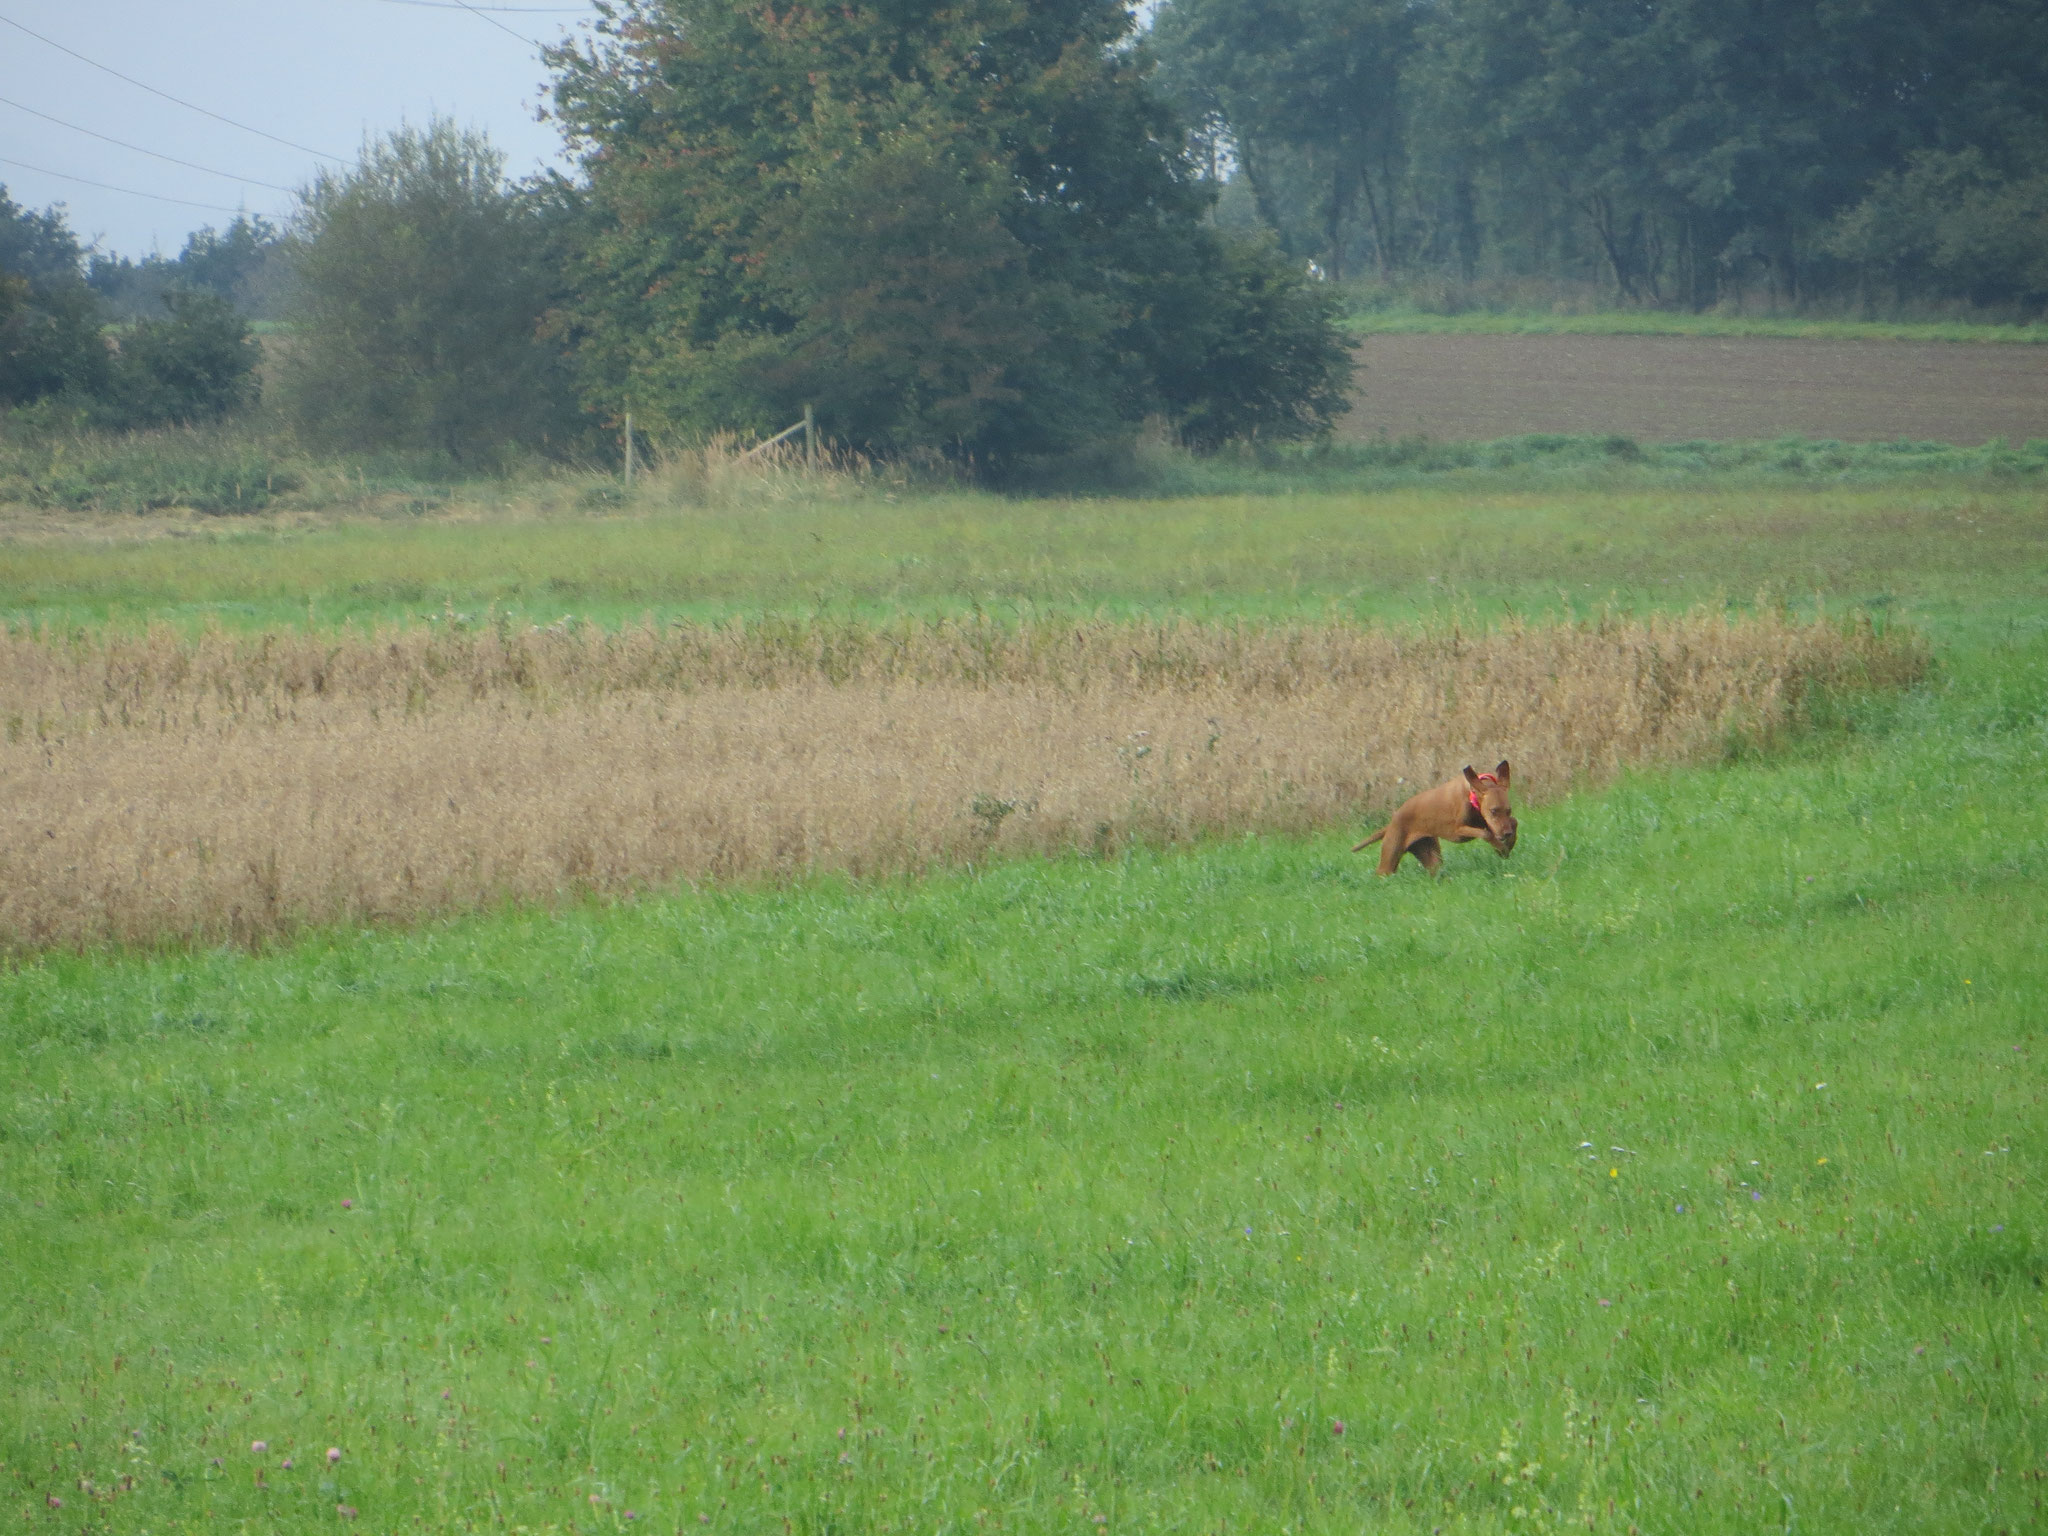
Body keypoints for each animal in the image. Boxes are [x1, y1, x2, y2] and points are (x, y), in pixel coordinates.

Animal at [1351, 761, 1515, 872]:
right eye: (1493, 811)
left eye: (1509, 810)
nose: (1506, 834)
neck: (1471, 795)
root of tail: (1391, 822)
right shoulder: (1458, 831)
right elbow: (1486, 833)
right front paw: (1501, 847)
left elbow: (1513, 822)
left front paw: (1510, 842)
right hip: (1390, 858)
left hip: (1430, 855)